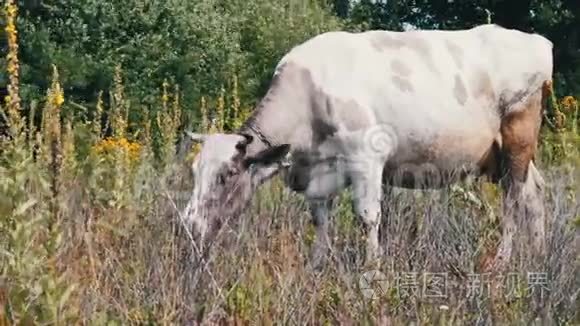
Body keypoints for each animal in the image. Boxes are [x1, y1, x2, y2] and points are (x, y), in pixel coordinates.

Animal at [181, 24, 552, 270]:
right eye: (195, 171)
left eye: (227, 175)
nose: (189, 224)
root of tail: (535, 40)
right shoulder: (320, 170)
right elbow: (320, 218)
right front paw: (316, 266)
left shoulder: (367, 158)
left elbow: (368, 216)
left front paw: (372, 273)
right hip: (501, 153)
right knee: (534, 193)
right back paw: (539, 253)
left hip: (518, 132)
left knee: (513, 198)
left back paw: (502, 260)